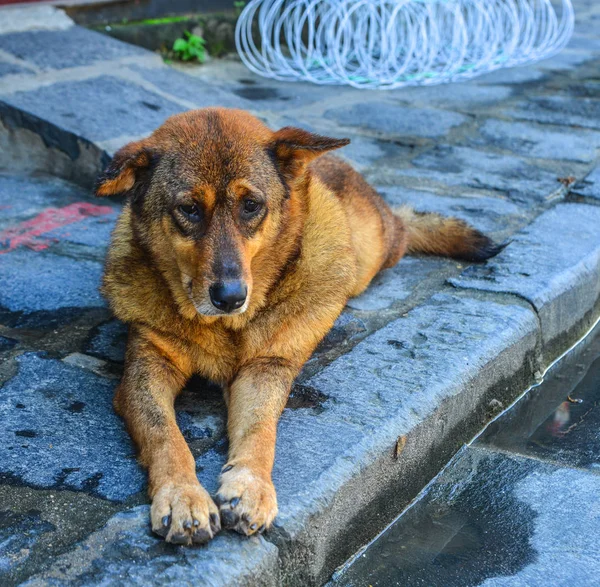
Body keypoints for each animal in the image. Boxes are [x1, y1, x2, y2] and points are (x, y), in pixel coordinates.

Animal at [95, 107, 502, 548]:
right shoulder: (145, 370)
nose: (230, 297)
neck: (228, 327)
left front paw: (251, 485)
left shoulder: (266, 368)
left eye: (251, 205)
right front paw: (183, 495)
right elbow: (165, 435)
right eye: (188, 209)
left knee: (405, 228)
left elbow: (260, 429)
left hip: (376, 246)